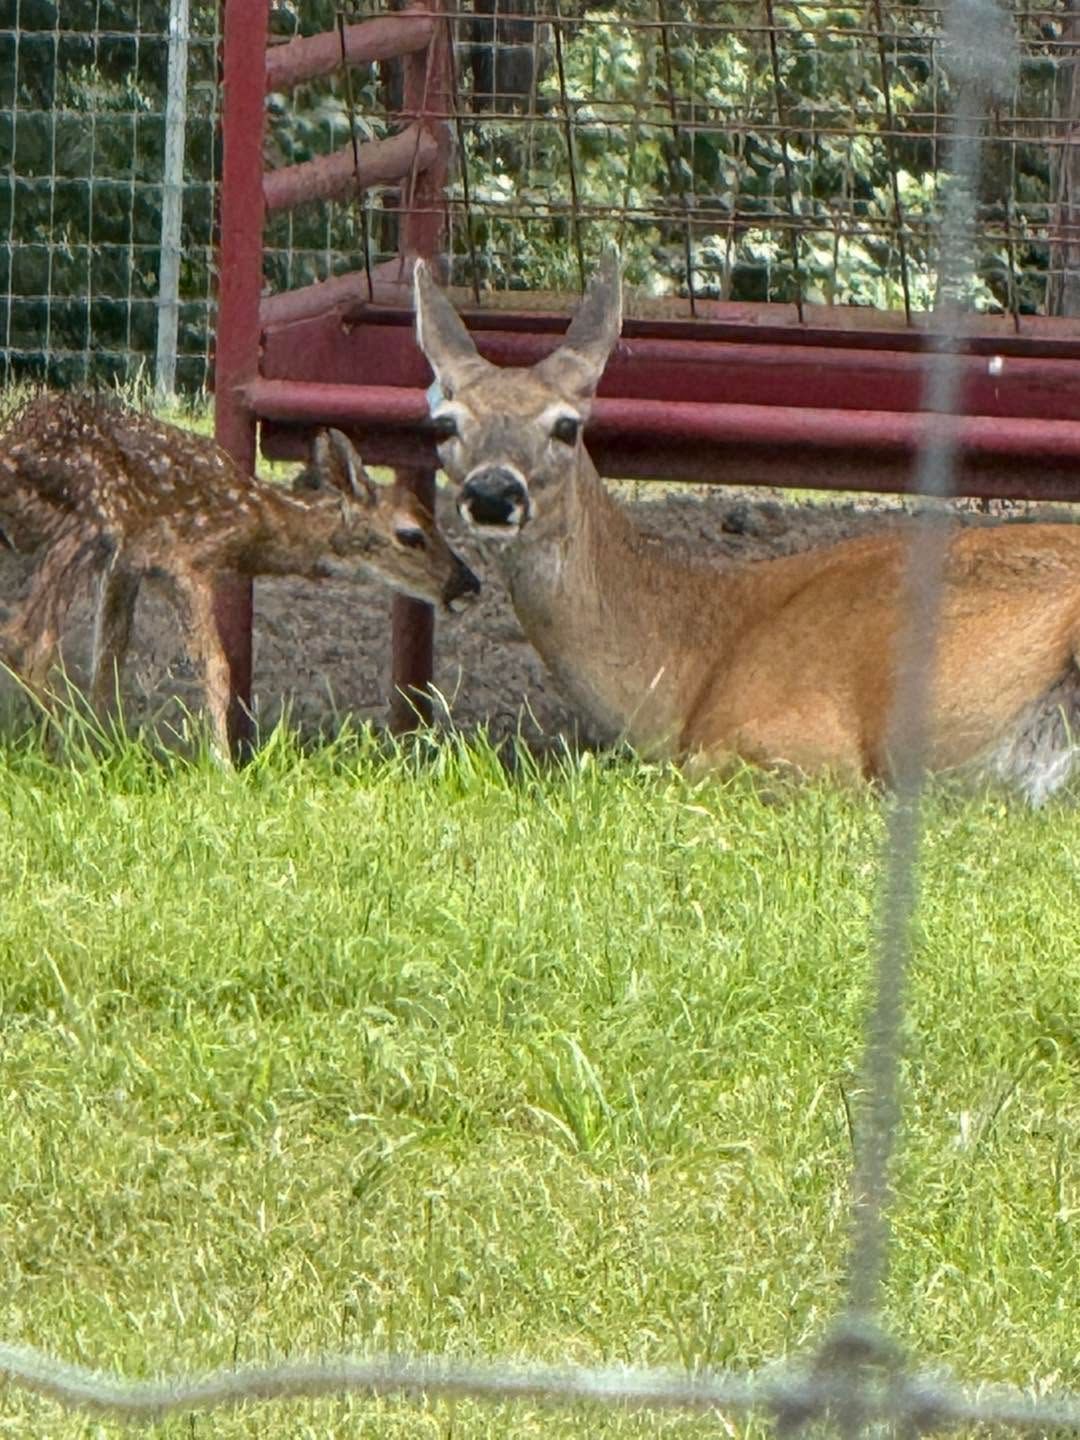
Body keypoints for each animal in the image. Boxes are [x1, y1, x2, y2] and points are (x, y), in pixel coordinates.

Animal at [0, 393, 480, 754]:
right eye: (411, 534)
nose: (468, 583)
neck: (253, 523)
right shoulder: (183, 560)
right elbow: (216, 666)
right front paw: (222, 764)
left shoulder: (126, 563)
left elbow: (109, 657)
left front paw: (107, 743)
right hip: (87, 522)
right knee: (27, 640)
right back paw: (62, 748)